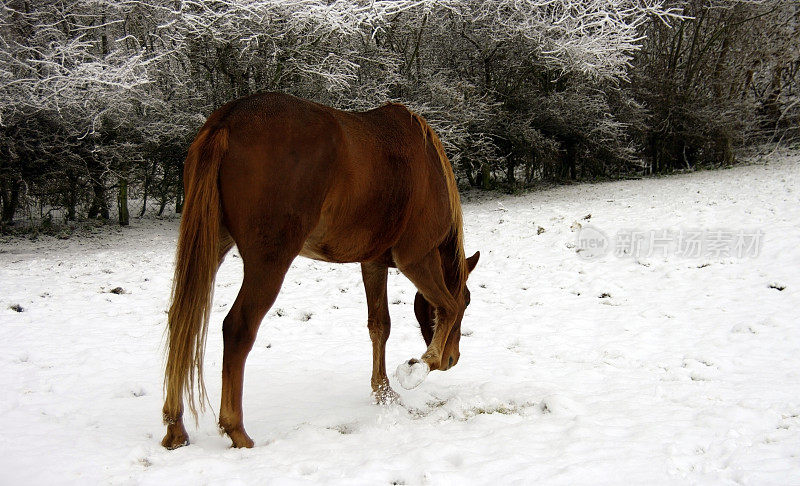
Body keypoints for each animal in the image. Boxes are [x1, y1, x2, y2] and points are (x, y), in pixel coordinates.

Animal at [159, 91, 478, 448]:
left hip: (211, 246)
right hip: (268, 263)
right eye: (469, 300)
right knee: (237, 328)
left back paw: (175, 427)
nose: (452, 360)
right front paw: (418, 368)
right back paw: (237, 431)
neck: (427, 165)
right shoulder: (417, 259)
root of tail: (229, 119)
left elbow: (379, 326)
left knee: (182, 321)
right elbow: (447, 307)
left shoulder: (373, 263)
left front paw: (383, 392)